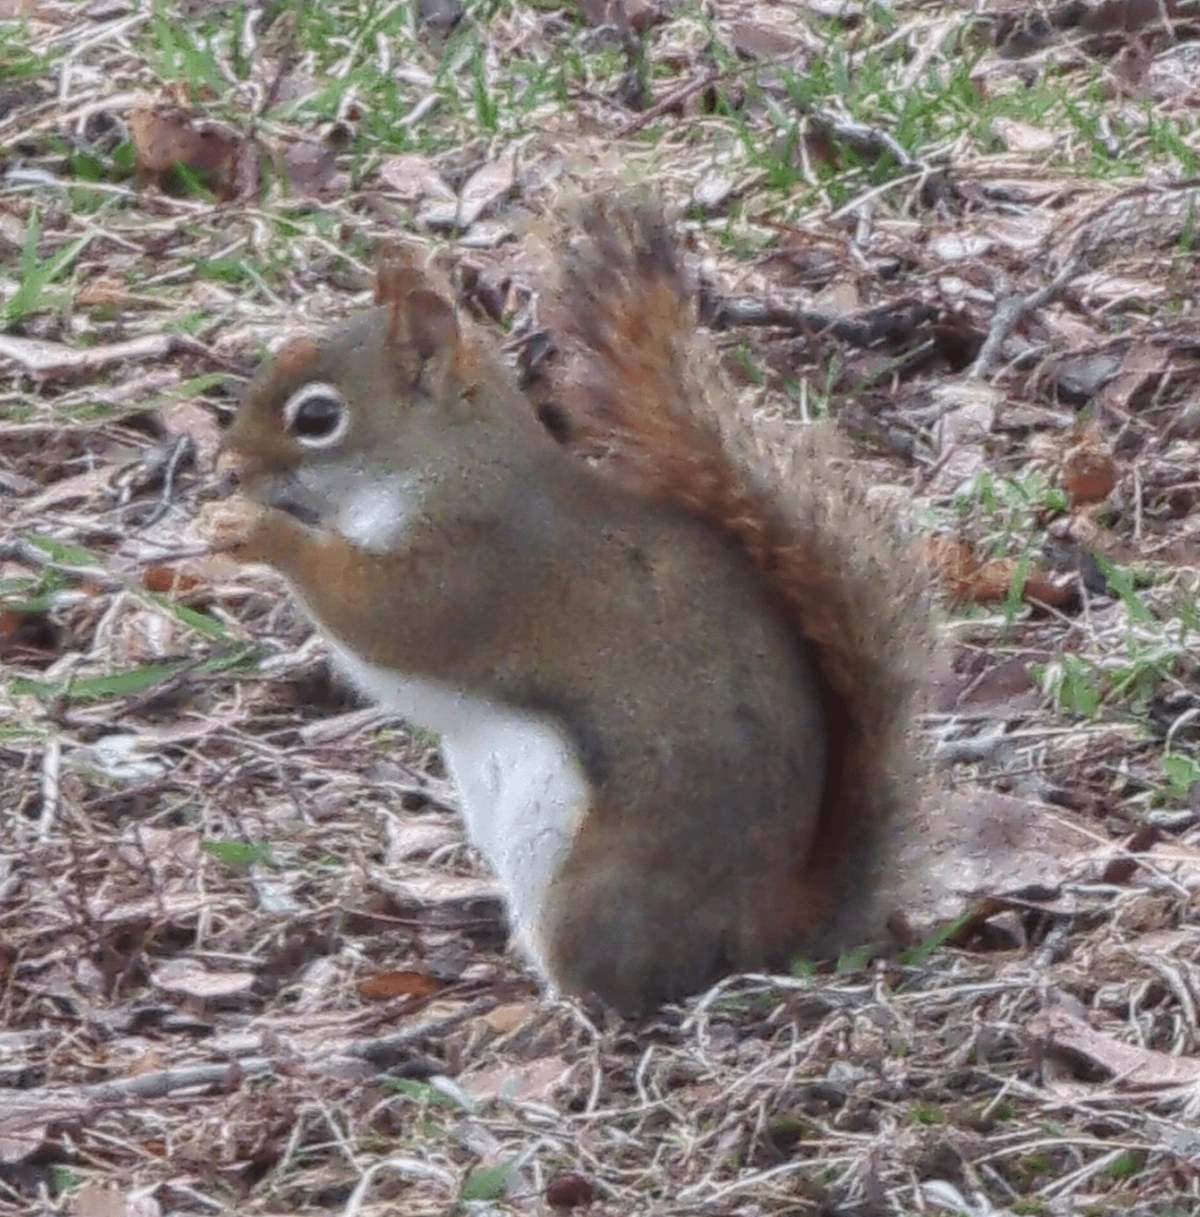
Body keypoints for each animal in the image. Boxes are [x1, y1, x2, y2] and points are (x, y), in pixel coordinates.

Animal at [196, 197, 930, 1015]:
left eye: (318, 417)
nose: (227, 469)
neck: (447, 465)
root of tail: (762, 932)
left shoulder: (475, 568)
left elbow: (381, 614)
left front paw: (255, 531)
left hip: (591, 879)